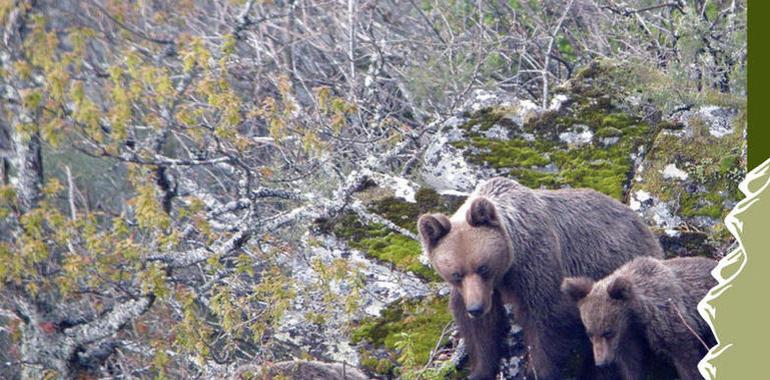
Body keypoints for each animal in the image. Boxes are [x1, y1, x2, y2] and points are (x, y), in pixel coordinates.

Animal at [414, 178, 660, 380]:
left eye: (483, 267)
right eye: (456, 274)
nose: (475, 308)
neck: (507, 267)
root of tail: (644, 227)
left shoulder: (535, 264)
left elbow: (546, 319)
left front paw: (540, 370)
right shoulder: (476, 291)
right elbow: (479, 330)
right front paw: (479, 370)